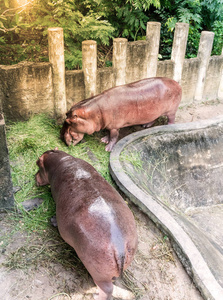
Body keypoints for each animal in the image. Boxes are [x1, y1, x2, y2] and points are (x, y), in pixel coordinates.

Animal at [34, 149, 138, 298]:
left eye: (38, 163)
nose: (34, 176)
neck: (62, 160)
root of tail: (119, 248)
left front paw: (53, 220)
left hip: (97, 273)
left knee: (107, 289)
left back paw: (95, 296)